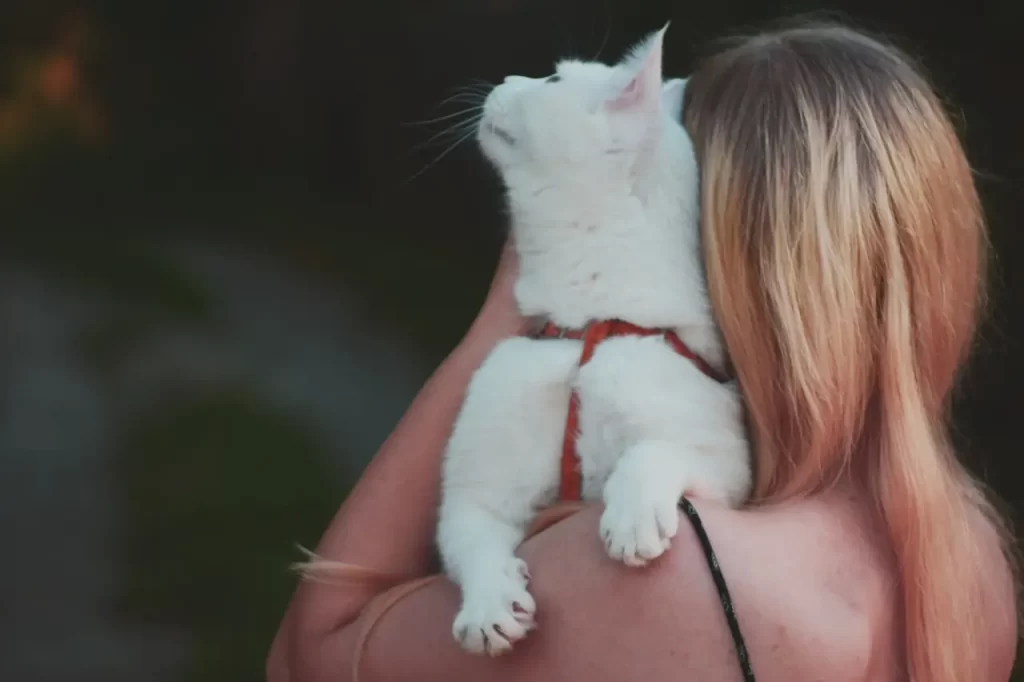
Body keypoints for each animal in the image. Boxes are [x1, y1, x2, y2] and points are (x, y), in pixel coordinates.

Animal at [434, 25, 753, 655]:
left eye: (554, 77)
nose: (505, 78)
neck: (588, 329)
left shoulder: (732, 463)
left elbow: (655, 448)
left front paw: (632, 515)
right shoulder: (473, 492)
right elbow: (473, 541)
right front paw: (488, 605)